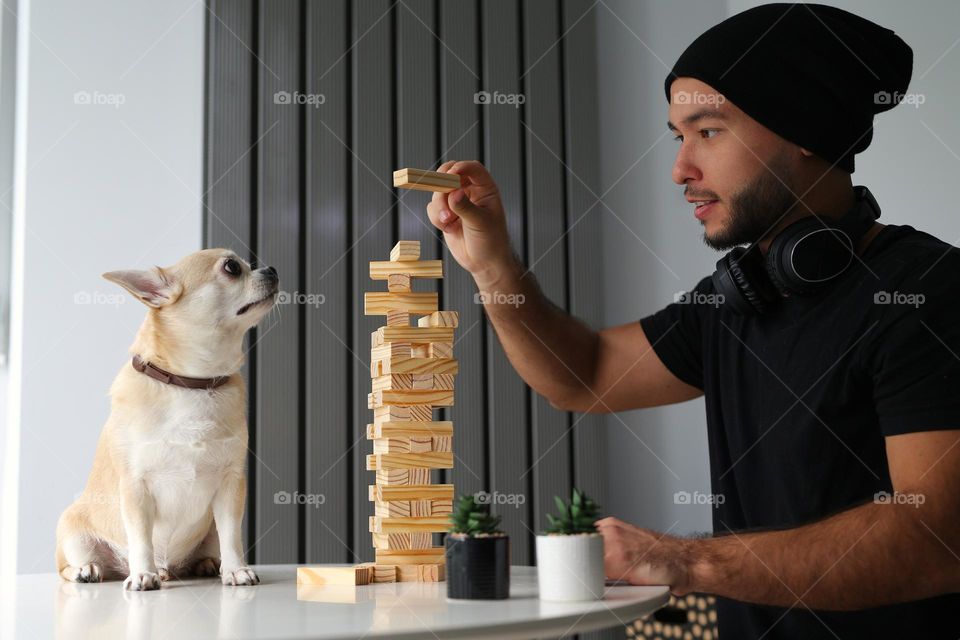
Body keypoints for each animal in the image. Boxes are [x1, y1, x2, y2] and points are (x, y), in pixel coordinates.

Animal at [55, 249, 276, 592]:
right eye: (232, 267)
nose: (272, 270)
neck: (193, 384)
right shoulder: (135, 487)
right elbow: (141, 538)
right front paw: (142, 573)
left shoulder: (230, 485)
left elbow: (232, 536)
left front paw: (236, 569)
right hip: (72, 533)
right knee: (68, 566)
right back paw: (92, 569)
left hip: (208, 529)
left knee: (211, 546)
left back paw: (208, 564)